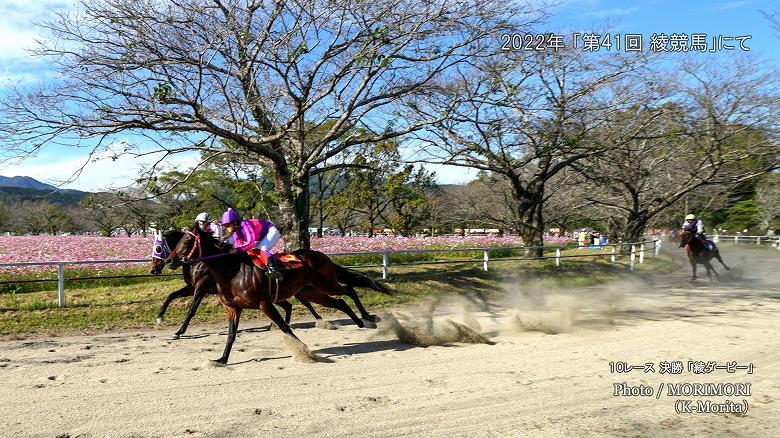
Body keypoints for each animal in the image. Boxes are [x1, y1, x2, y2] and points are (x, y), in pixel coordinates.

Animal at [168, 226, 394, 366]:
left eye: (187, 241)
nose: (170, 260)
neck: (232, 272)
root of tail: (322, 256)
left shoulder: (264, 303)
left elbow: (285, 327)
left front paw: (304, 352)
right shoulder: (233, 307)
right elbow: (231, 335)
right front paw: (221, 360)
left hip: (326, 283)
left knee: (349, 290)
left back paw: (367, 318)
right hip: (311, 291)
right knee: (340, 302)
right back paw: (359, 322)